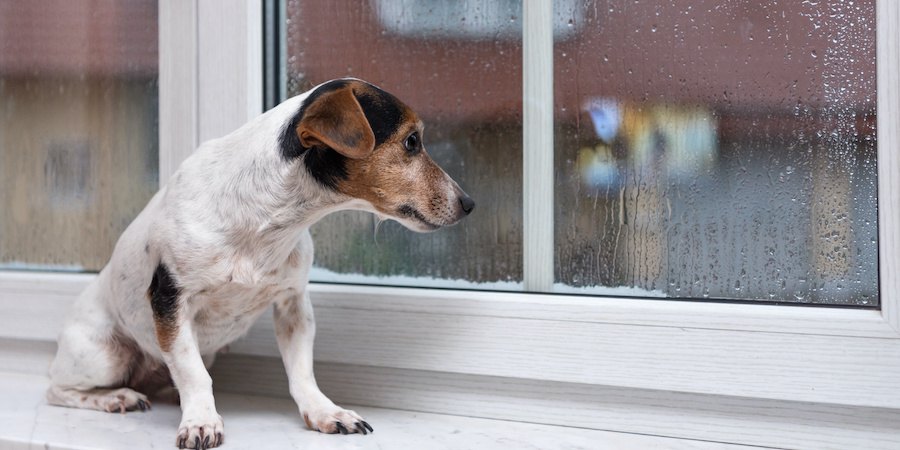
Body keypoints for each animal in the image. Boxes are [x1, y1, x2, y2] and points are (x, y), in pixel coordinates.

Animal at [45, 79, 474, 448]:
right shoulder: (171, 301)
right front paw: (201, 421)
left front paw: (325, 413)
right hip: (105, 355)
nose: (469, 203)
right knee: (57, 389)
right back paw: (116, 397)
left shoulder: (293, 304)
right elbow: (193, 373)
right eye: (412, 141)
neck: (269, 220)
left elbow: (302, 373)